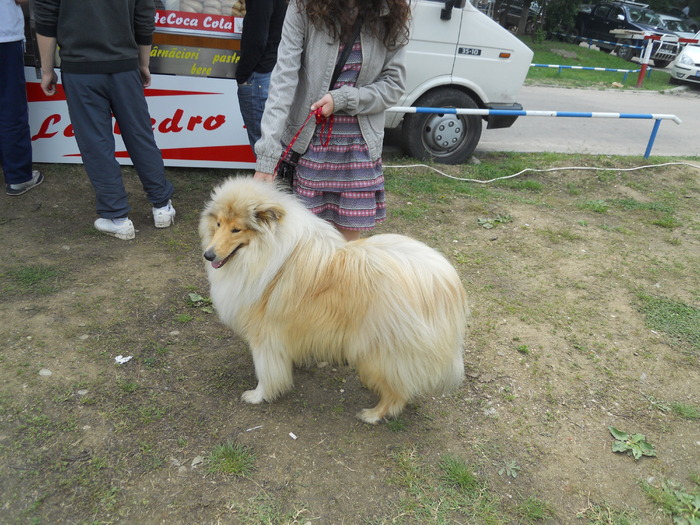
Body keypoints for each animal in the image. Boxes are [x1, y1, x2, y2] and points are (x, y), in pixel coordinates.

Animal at [200, 176, 468, 422]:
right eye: (218, 223)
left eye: (237, 229)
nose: (208, 255)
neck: (265, 251)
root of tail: (444, 281)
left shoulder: (264, 336)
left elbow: (266, 373)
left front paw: (257, 396)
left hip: (385, 351)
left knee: (397, 392)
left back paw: (373, 414)